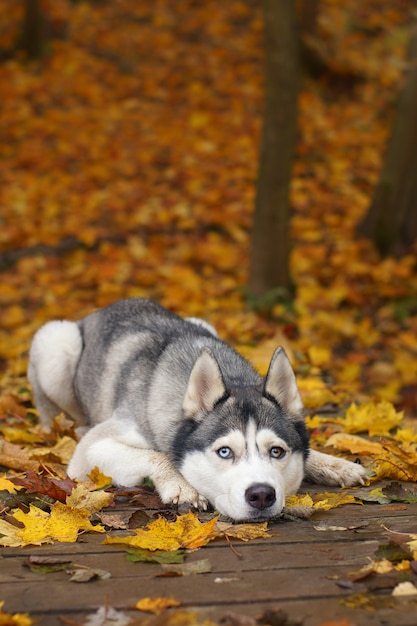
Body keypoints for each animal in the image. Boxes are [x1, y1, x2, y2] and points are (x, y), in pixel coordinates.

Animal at [29, 300, 366, 520]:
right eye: (224, 452)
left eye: (277, 452)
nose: (261, 494)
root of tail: (100, 310)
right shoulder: (89, 453)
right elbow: (157, 455)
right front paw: (182, 485)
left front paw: (335, 464)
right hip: (56, 343)